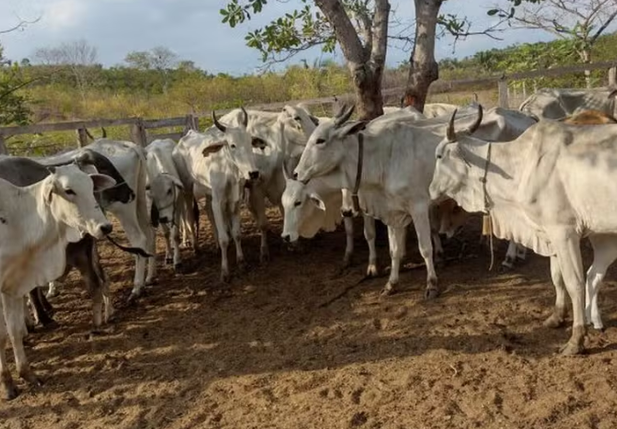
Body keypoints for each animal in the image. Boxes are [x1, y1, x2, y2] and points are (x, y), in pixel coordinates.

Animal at [0, 164, 115, 398]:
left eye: (91, 186)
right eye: (69, 190)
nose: (105, 227)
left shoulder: (14, 285)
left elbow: (14, 330)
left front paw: (27, 374)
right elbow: (2, 335)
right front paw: (7, 384)